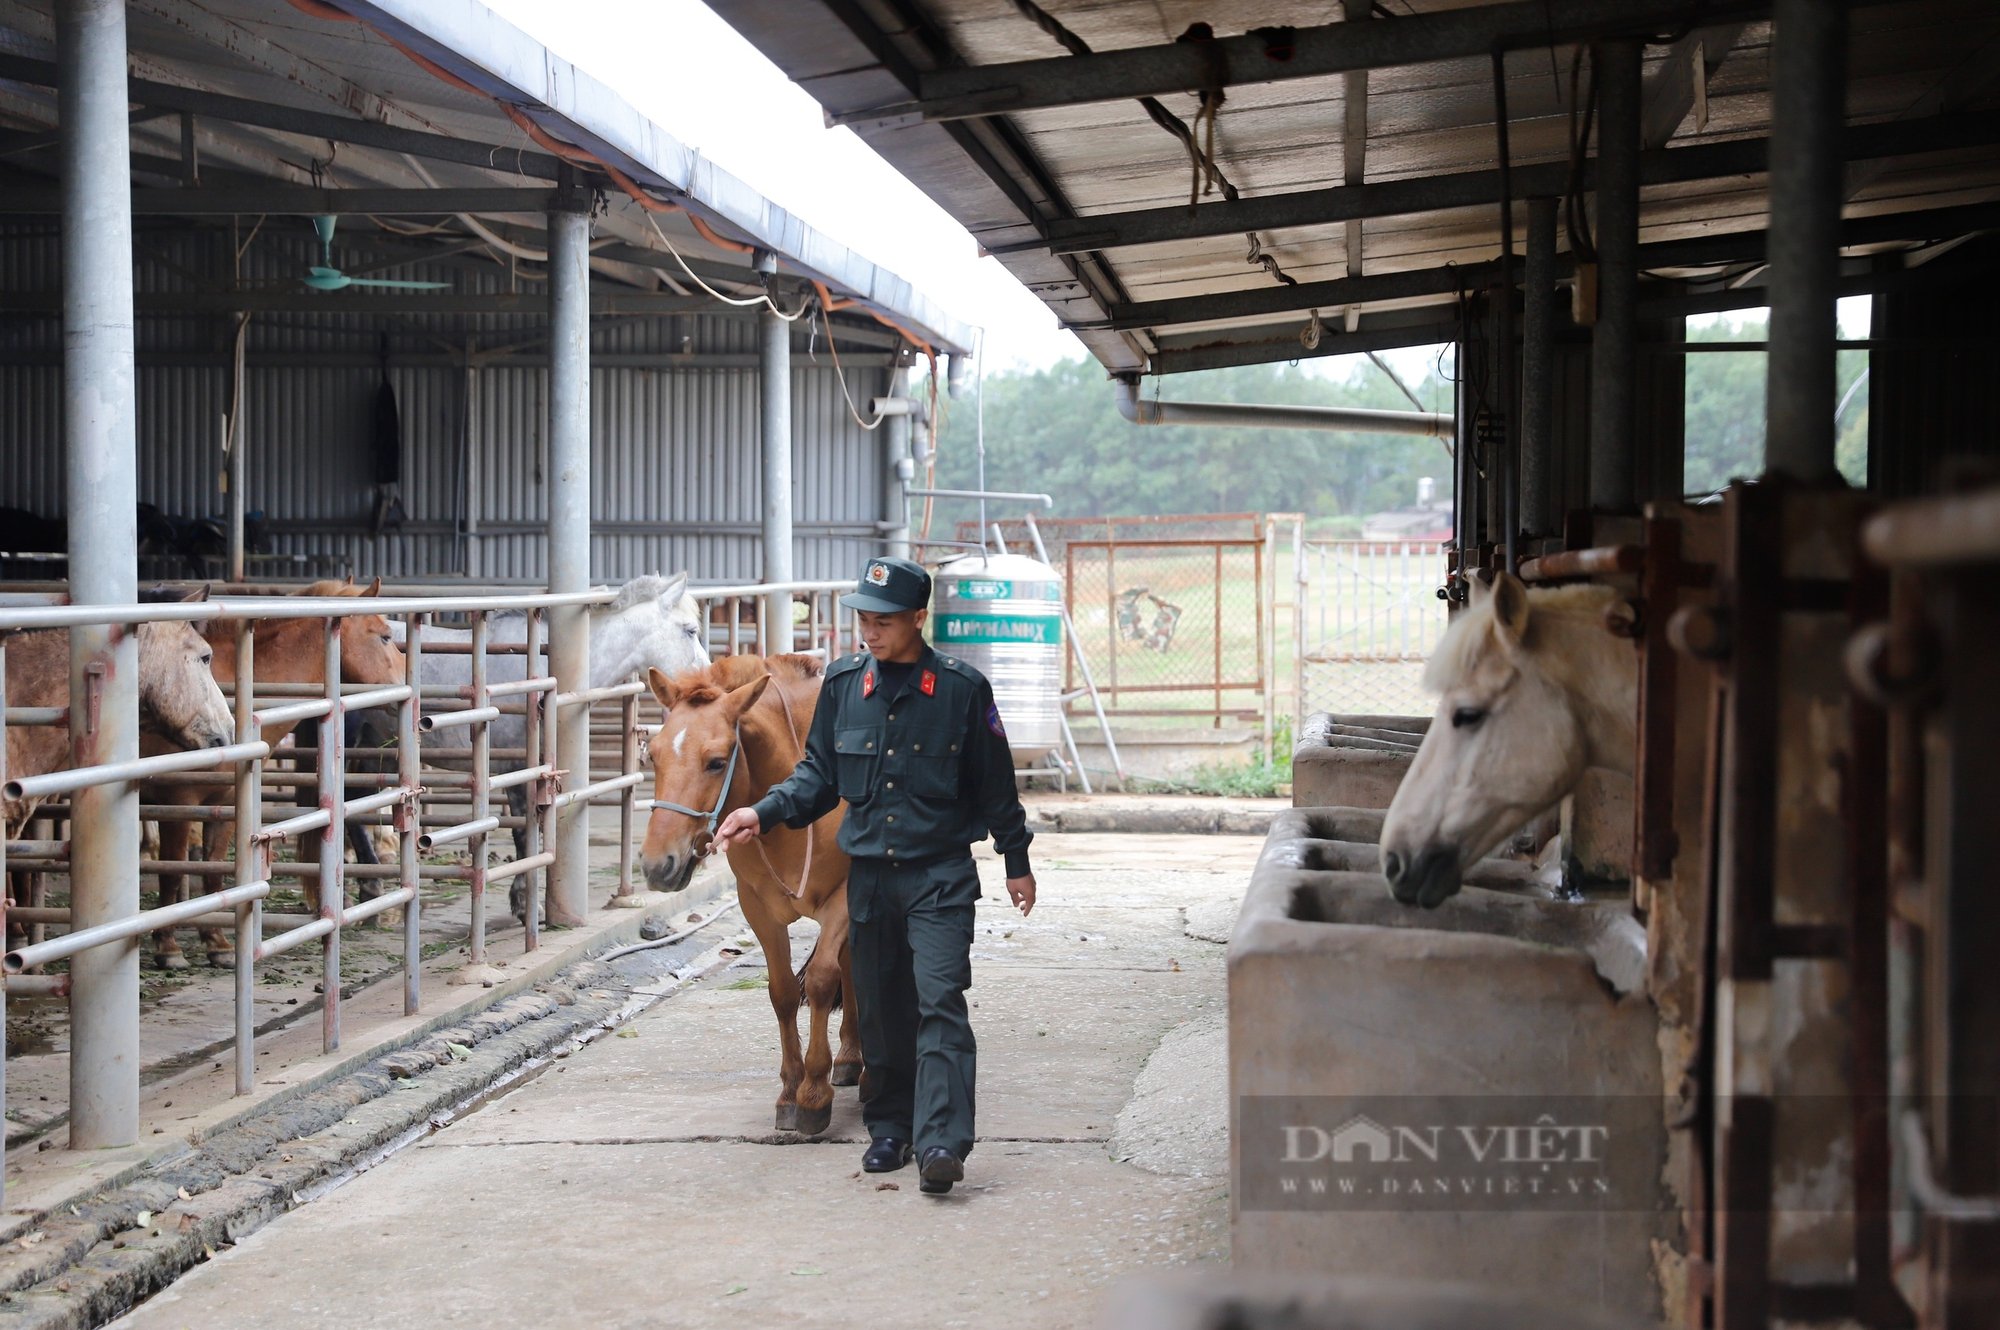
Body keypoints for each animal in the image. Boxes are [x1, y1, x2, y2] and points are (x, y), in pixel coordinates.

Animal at [147, 580, 406, 964]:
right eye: (385, 636)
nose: (410, 686)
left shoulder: (224, 804)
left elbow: (213, 871)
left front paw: (217, 943)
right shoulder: (177, 802)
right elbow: (172, 871)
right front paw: (168, 947)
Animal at [640, 652, 860, 1128]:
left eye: (716, 761)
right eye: (655, 756)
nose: (657, 864)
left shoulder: (846, 898)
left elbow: (820, 981)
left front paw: (814, 1093)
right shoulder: (757, 907)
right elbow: (782, 992)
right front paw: (791, 1091)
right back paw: (852, 1058)